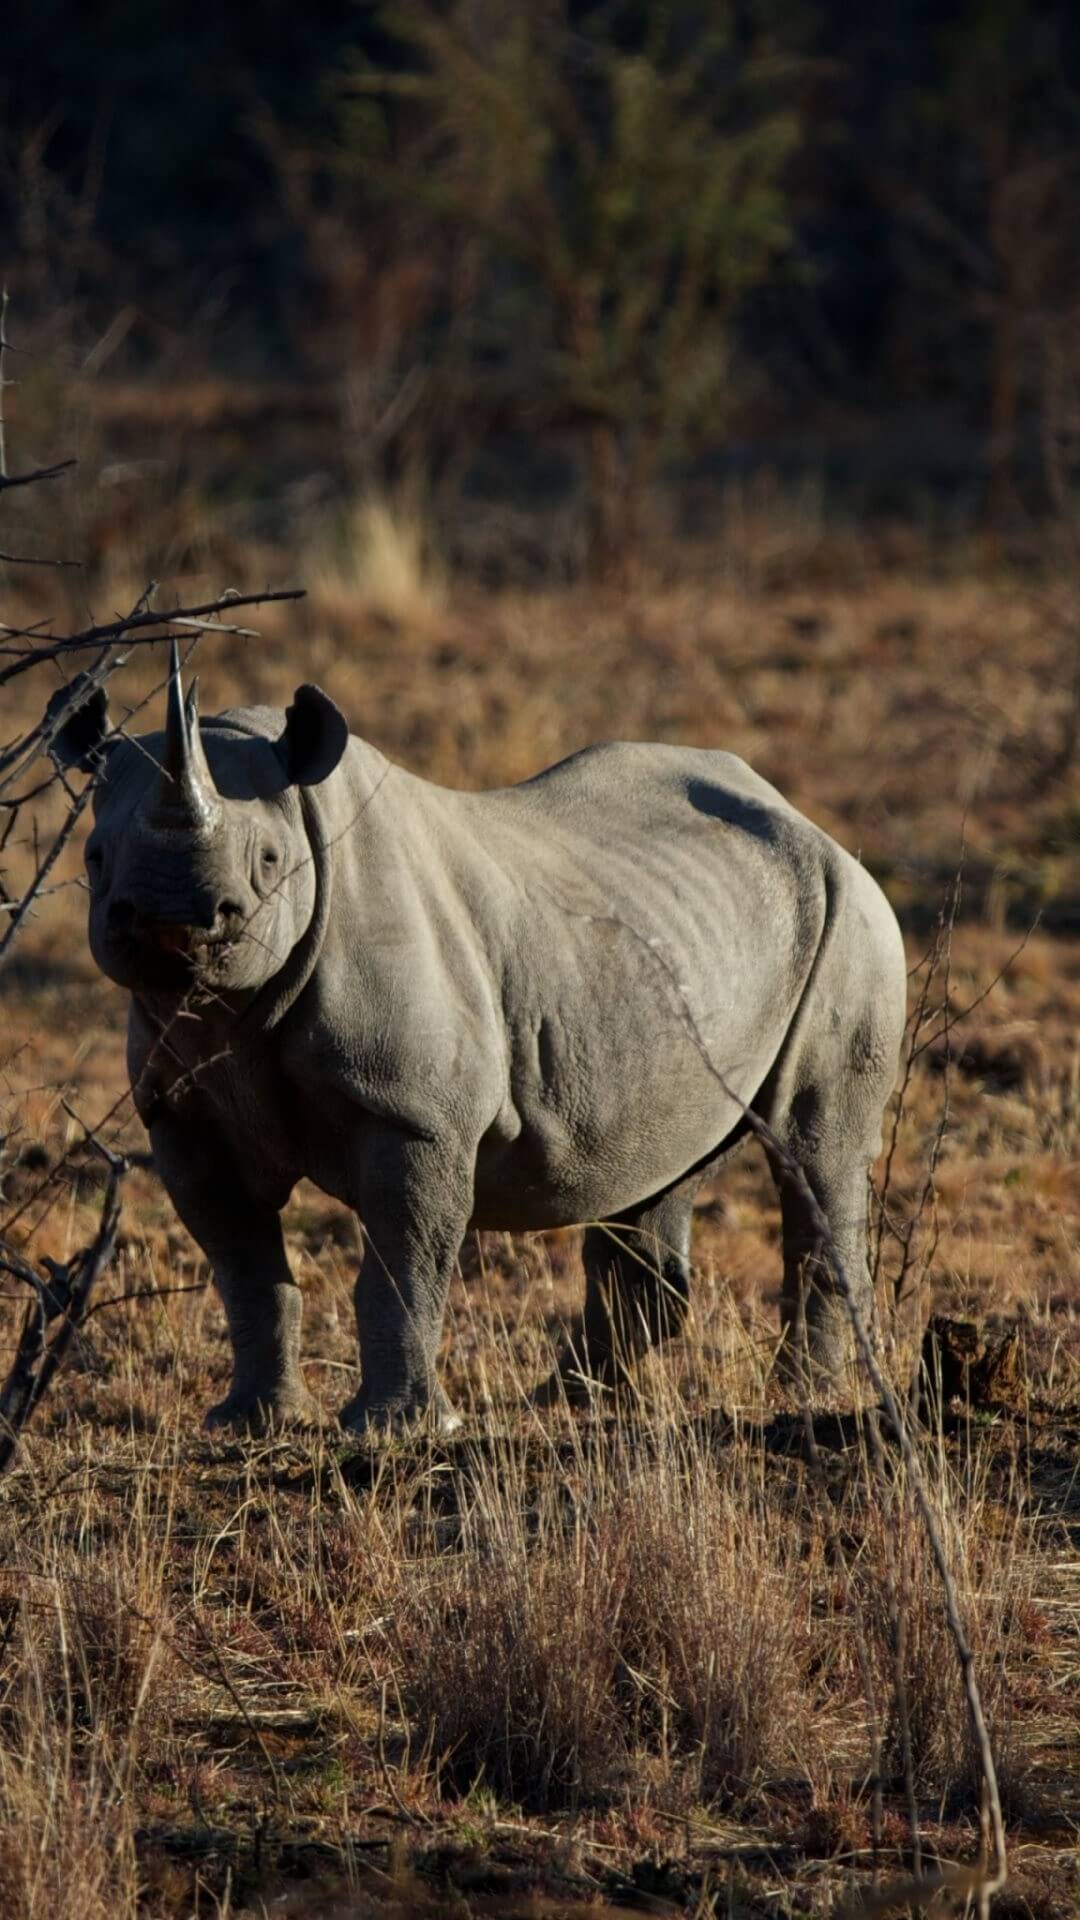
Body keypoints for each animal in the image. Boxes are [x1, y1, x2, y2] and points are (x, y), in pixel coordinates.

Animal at [51, 647, 907, 1432]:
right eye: (93, 857)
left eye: (268, 863)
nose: (171, 920)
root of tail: (805, 818)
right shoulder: (183, 1109)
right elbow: (244, 1267)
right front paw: (250, 1421)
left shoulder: (412, 1114)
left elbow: (403, 1263)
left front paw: (391, 1429)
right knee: (657, 1163)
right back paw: (569, 1400)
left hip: (850, 913)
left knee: (813, 1152)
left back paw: (805, 1397)